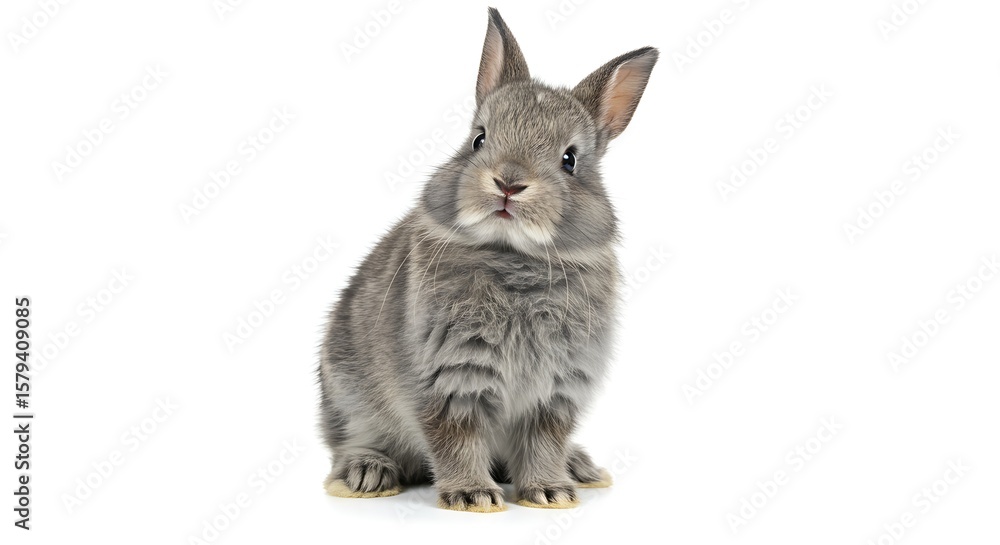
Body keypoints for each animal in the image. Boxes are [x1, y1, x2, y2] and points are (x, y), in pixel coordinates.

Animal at [318, 7, 657, 513]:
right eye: (478, 139)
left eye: (570, 159)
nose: (509, 183)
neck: (512, 255)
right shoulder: (449, 380)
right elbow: (456, 438)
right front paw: (472, 496)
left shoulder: (555, 392)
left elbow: (543, 442)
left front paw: (550, 492)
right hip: (348, 395)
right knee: (349, 441)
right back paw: (367, 473)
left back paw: (580, 469)